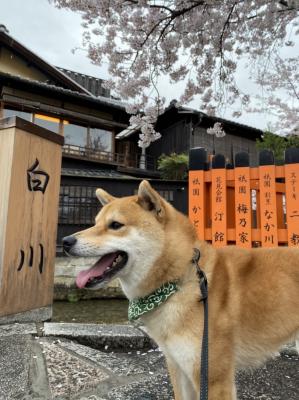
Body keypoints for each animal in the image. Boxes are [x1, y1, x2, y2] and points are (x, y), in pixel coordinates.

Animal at [62, 181, 299, 400]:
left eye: (115, 225)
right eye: (94, 224)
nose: (65, 240)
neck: (179, 281)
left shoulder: (213, 378)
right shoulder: (178, 366)